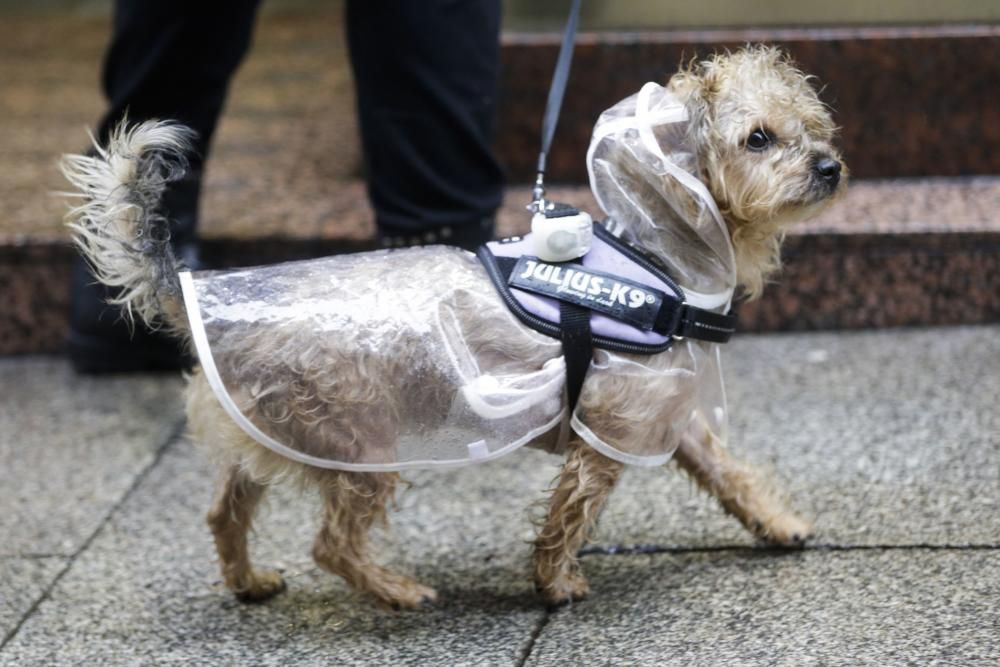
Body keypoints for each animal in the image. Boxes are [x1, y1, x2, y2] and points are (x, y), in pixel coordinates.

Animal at [62, 47, 844, 612]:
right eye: (759, 139)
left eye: (813, 127)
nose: (831, 166)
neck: (653, 256)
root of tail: (187, 291)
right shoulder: (611, 433)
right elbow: (569, 517)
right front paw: (556, 585)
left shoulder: (660, 414)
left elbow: (728, 471)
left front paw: (777, 522)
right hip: (362, 446)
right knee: (331, 543)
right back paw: (397, 591)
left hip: (269, 437)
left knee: (224, 512)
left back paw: (249, 581)